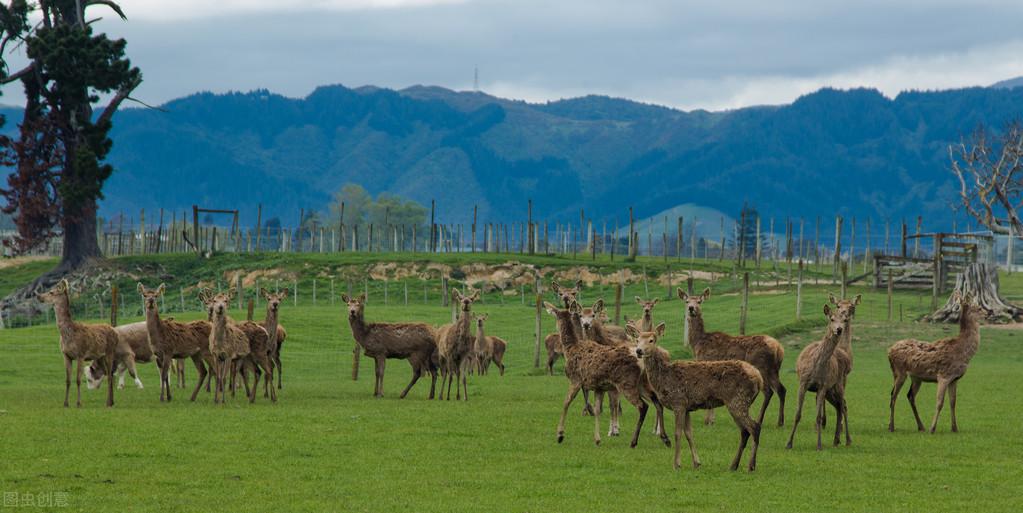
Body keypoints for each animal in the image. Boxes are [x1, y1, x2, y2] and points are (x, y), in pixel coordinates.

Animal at [548, 301, 666, 446]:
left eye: (556, 315)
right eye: (580, 316)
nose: (585, 324)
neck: (570, 349)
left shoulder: (575, 379)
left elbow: (566, 403)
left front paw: (560, 435)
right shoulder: (599, 387)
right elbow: (598, 409)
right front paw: (598, 438)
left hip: (626, 384)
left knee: (643, 406)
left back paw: (635, 440)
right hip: (642, 383)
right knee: (657, 401)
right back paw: (664, 437)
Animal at [630, 321, 769, 468]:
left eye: (651, 340)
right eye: (637, 340)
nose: (638, 351)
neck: (664, 378)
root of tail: (758, 377)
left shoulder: (678, 402)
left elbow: (678, 433)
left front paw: (677, 464)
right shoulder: (687, 407)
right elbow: (689, 433)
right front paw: (696, 462)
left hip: (738, 399)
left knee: (754, 427)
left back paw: (751, 465)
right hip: (740, 402)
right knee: (745, 431)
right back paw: (734, 465)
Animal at [683, 286, 785, 425]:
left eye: (699, 301)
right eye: (687, 301)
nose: (691, 308)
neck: (697, 343)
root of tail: (778, 348)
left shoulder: (706, 362)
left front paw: (709, 421)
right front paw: (710, 420)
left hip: (761, 365)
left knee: (768, 391)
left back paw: (759, 420)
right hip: (774, 369)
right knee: (781, 389)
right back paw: (780, 422)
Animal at [781, 301, 855, 450]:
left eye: (844, 320)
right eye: (831, 319)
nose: (839, 329)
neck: (816, 367)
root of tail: (845, 357)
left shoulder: (822, 386)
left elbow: (818, 417)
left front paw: (819, 445)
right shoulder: (803, 383)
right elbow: (797, 414)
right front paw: (788, 443)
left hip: (838, 383)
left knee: (843, 406)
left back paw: (847, 440)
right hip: (830, 390)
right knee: (839, 406)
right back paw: (836, 440)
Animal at [887, 288, 982, 432]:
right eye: (979, 307)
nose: (989, 312)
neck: (963, 353)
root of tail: (889, 351)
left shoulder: (954, 379)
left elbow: (953, 402)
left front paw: (955, 428)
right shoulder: (943, 375)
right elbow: (939, 402)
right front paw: (933, 428)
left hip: (916, 377)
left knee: (910, 396)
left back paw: (921, 426)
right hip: (899, 371)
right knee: (893, 395)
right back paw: (892, 426)